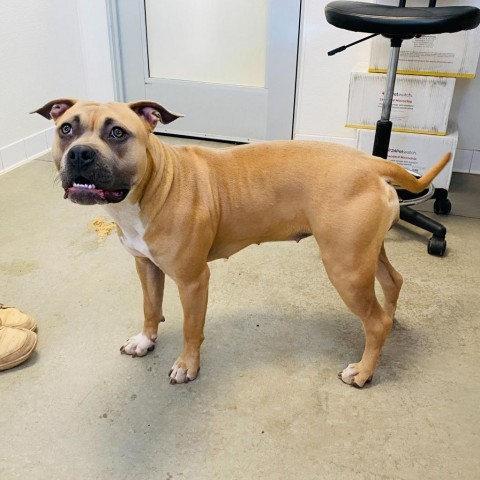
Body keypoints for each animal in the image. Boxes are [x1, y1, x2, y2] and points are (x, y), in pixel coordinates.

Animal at [33, 99, 450, 388]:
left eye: (117, 133)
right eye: (66, 129)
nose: (80, 153)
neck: (154, 184)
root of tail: (370, 162)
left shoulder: (193, 280)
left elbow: (191, 328)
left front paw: (187, 365)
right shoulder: (146, 265)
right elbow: (151, 307)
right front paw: (144, 340)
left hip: (345, 266)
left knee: (375, 321)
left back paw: (363, 370)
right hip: (364, 254)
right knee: (392, 285)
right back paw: (390, 322)